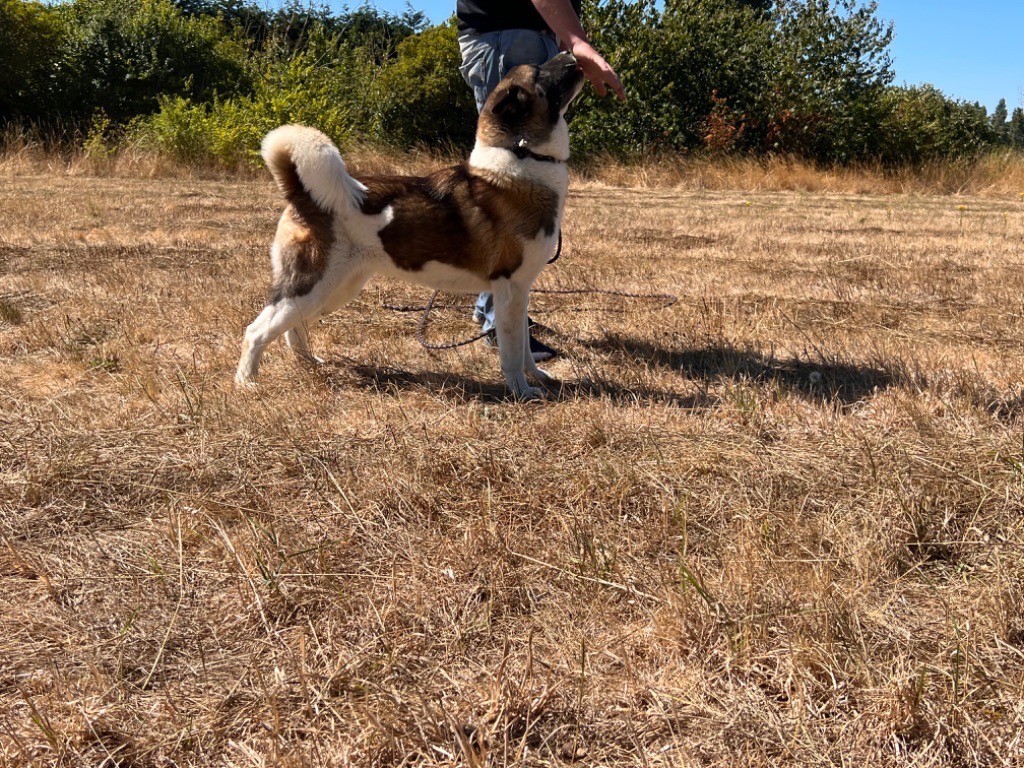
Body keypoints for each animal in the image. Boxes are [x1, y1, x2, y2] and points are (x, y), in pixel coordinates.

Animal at [234, 51, 585, 400]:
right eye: (538, 72)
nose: (571, 52)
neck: (523, 157)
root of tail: (302, 193)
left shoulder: (521, 290)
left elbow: (525, 348)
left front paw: (537, 376)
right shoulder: (509, 289)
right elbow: (512, 352)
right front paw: (523, 392)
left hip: (335, 289)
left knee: (293, 326)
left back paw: (307, 362)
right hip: (313, 284)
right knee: (257, 331)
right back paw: (246, 382)